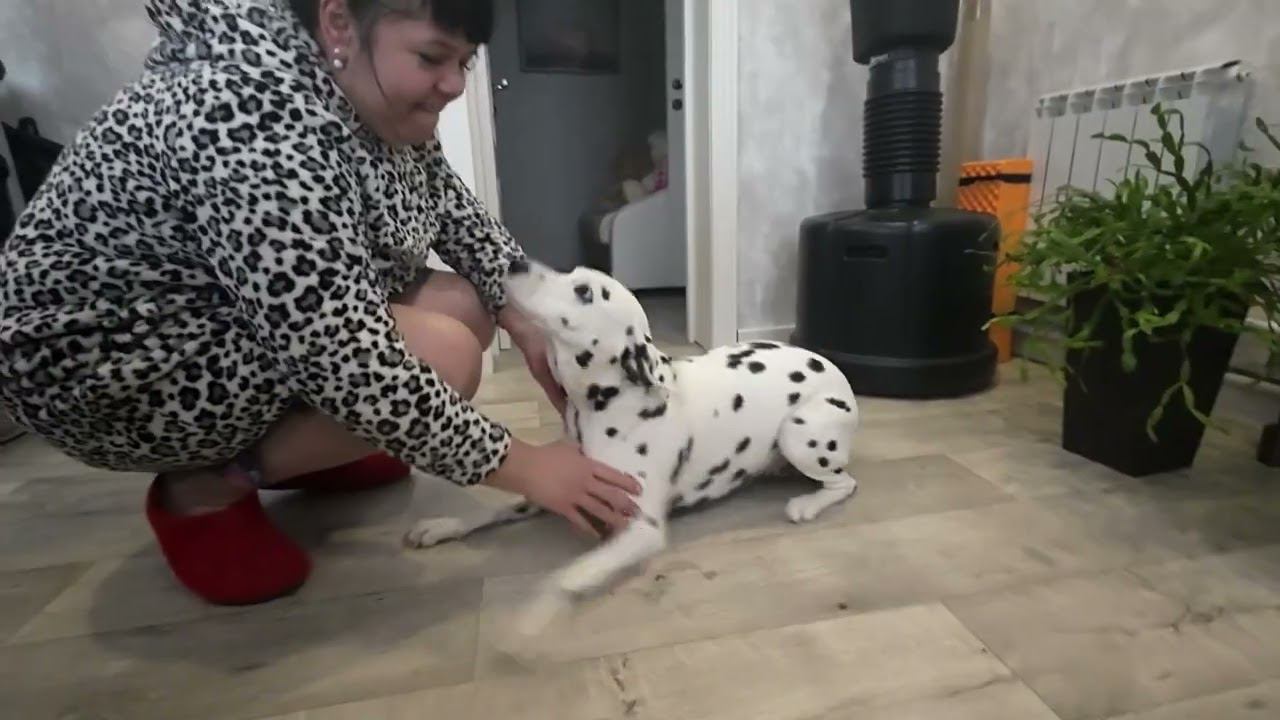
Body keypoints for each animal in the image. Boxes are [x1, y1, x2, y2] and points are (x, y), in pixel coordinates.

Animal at [404, 259, 860, 637]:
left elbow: (568, 576)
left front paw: (539, 612)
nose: (514, 262)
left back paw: (807, 503)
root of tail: (833, 369)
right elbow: (496, 508)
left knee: (844, 483)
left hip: (799, 434)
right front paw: (444, 525)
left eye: (584, 291)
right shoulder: (561, 482)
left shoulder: (642, 529)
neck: (609, 404)